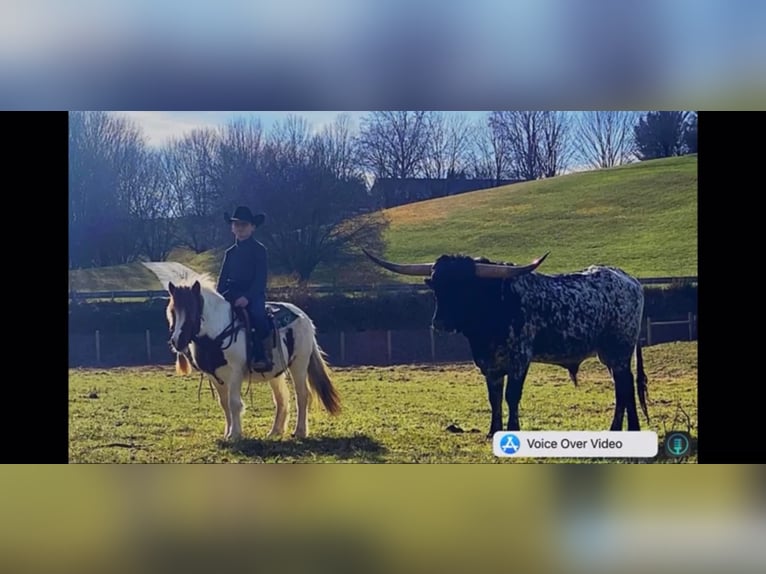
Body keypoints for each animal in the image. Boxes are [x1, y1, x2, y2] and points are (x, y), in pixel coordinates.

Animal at [166, 278, 340, 440]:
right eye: (172, 312)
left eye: (192, 311)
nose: (177, 341)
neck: (219, 332)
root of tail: (304, 317)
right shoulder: (214, 375)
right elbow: (224, 404)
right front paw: (227, 432)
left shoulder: (235, 372)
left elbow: (234, 403)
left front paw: (235, 434)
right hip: (275, 373)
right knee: (281, 398)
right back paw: (275, 431)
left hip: (299, 364)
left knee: (302, 395)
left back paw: (300, 431)